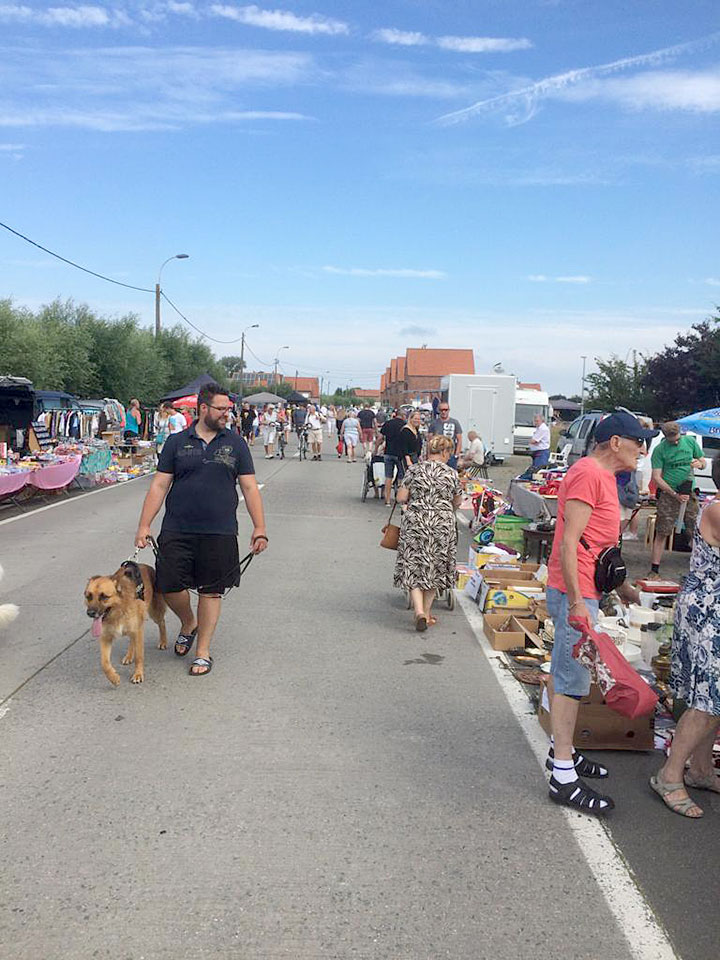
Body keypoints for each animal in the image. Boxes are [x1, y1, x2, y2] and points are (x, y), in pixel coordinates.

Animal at [84, 560, 167, 688]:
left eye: (104, 596)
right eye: (89, 596)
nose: (90, 613)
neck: (119, 609)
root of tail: (145, 565)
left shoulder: (138, 631)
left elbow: (139, 657)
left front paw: (138, 674)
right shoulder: (106, 637)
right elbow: (104, 663)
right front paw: (113, 678)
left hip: (154, 613)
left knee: (162, 623)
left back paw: (163, 641)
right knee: (132, 641)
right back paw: (129, 656)